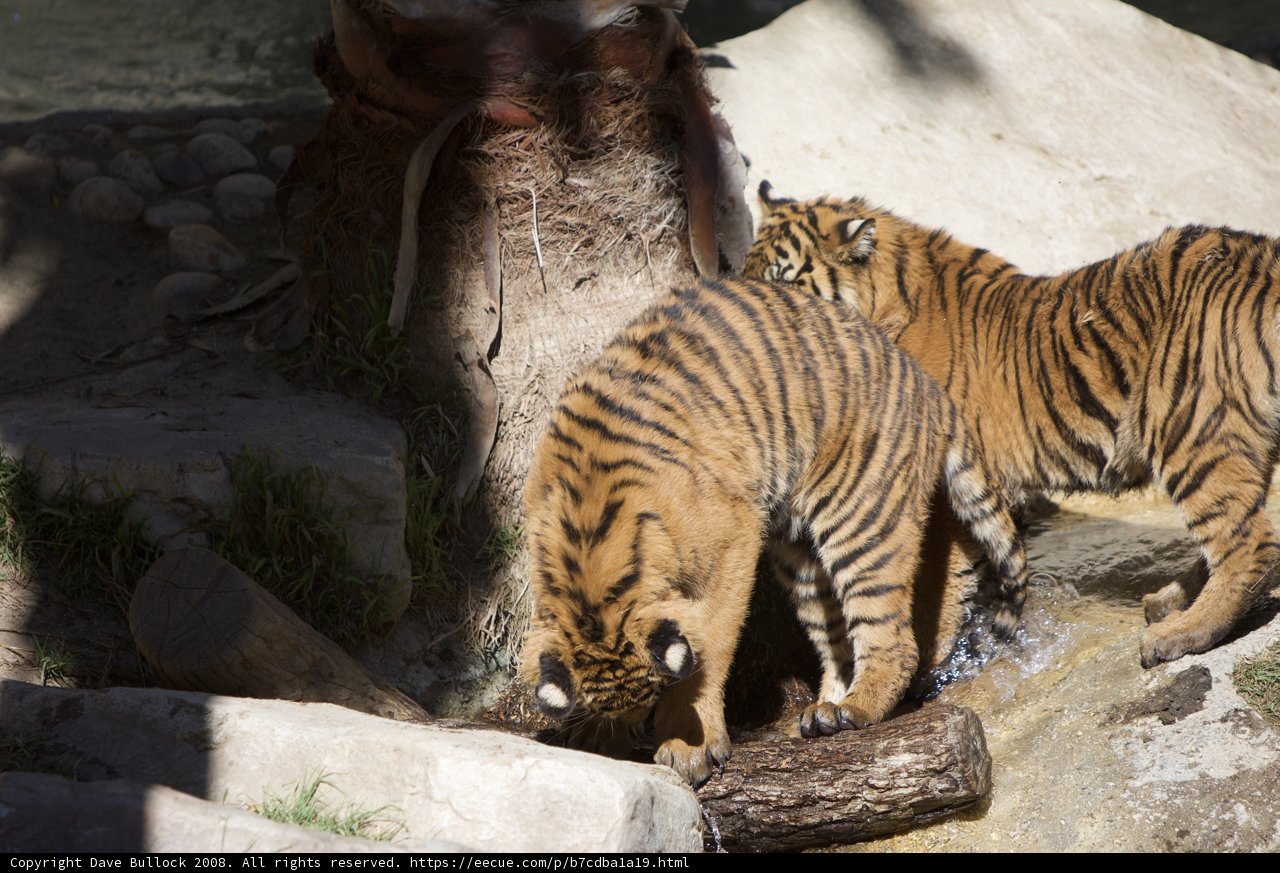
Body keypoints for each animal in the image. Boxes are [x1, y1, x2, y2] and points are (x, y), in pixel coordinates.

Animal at [519, 275, 1028, 787]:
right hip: (801, 556)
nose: (635, 726)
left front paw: (688, 741)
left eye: (656, 697)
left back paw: (859, 709)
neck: (589, 568)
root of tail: (930, 387)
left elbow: (710, 648)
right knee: (836, 637)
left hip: (862, 522)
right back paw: (826, 710)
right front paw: (601, 737)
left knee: (895, 640)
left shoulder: (733, 539)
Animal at [744, 180, 1280, 669]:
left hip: (1191, 426)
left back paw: (1180, 633)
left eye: (785, 281)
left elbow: (931, 581)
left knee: (1250, 545)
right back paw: (1168, 601)